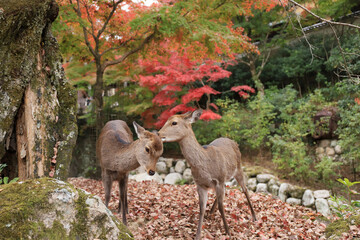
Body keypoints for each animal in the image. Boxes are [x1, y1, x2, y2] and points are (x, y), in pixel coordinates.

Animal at [159, 109, 258, 239]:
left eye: (174, 122)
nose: (158, 134)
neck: (205, 165)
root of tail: (234, 142)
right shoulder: (200, 184)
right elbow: (201, 208)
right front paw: (198, 235)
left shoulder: (219, 179)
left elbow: (221, 206)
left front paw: (228, 232)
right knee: (226, 188)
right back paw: (211, 212)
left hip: (238, 168)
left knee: (245, 189)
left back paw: (254, 216)